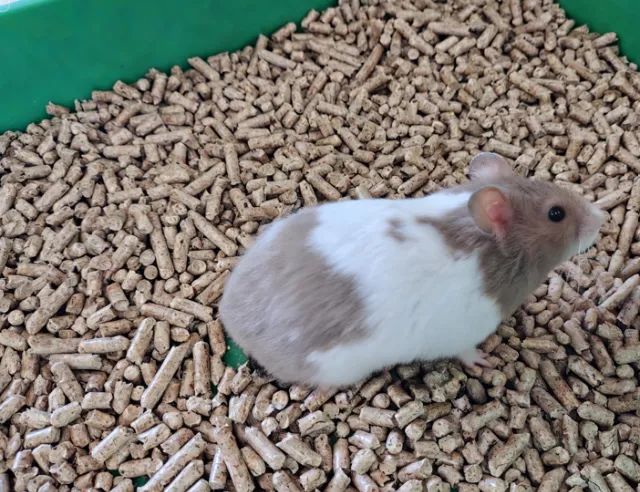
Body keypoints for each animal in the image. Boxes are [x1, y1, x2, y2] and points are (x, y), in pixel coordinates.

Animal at [219, 152, 605, 387]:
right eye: (556, 213)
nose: (602, 218)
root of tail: (230, 319)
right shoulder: (462, 333)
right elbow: (467, 352)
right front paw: (486, 361)